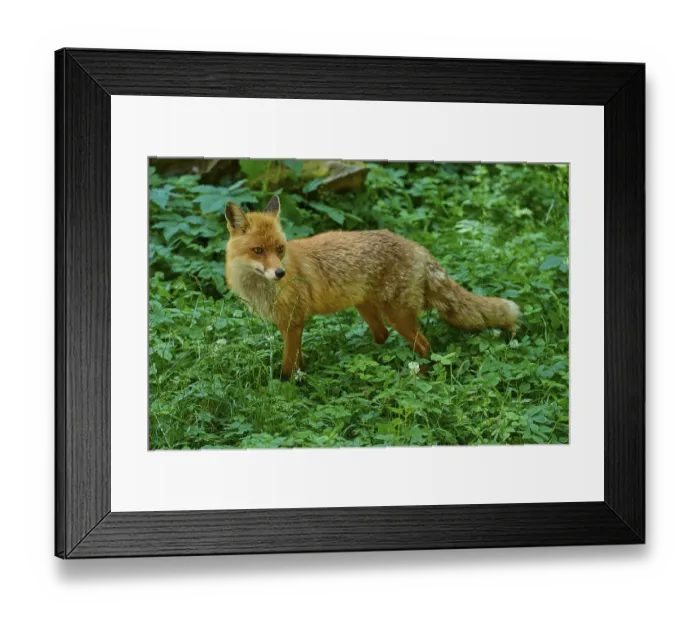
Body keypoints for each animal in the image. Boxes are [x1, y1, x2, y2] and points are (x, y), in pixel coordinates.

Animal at [224, 196, 520, 381]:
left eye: (280, 249)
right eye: (258, 250)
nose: (280, 273)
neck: (260, 288)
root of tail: (418, 248)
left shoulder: (293, 322)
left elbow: (288, 367)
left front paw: (286, 388)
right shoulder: (287, 325)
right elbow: (297, 362)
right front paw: (300, 380)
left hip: (397, 314)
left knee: (424, 347)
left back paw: (415, 378)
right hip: (366, 307)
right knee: (383, 335)